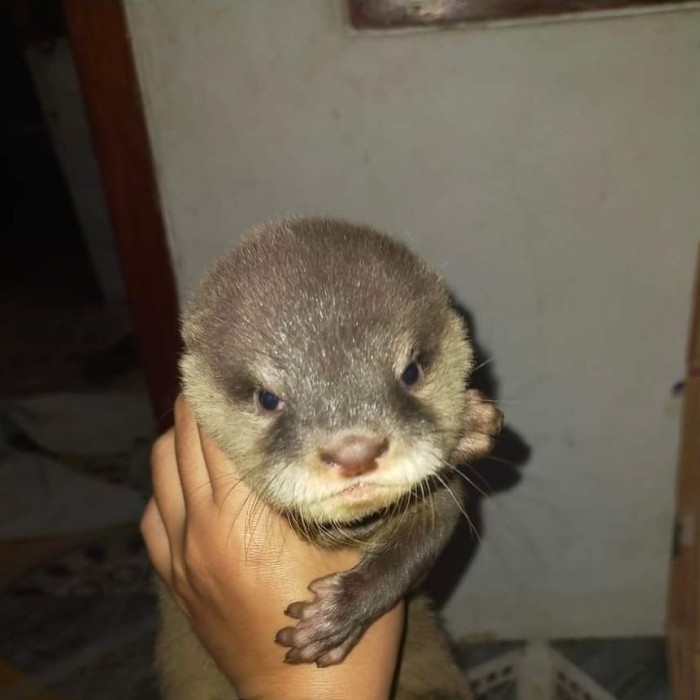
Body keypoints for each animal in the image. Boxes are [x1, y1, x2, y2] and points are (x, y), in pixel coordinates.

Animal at [156, 218, 502, 699]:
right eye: (268, 398)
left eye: (410, 372)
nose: (354, 452)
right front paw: (469, 429)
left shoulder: (443, 505)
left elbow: (413, 552)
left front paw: (336, 616)